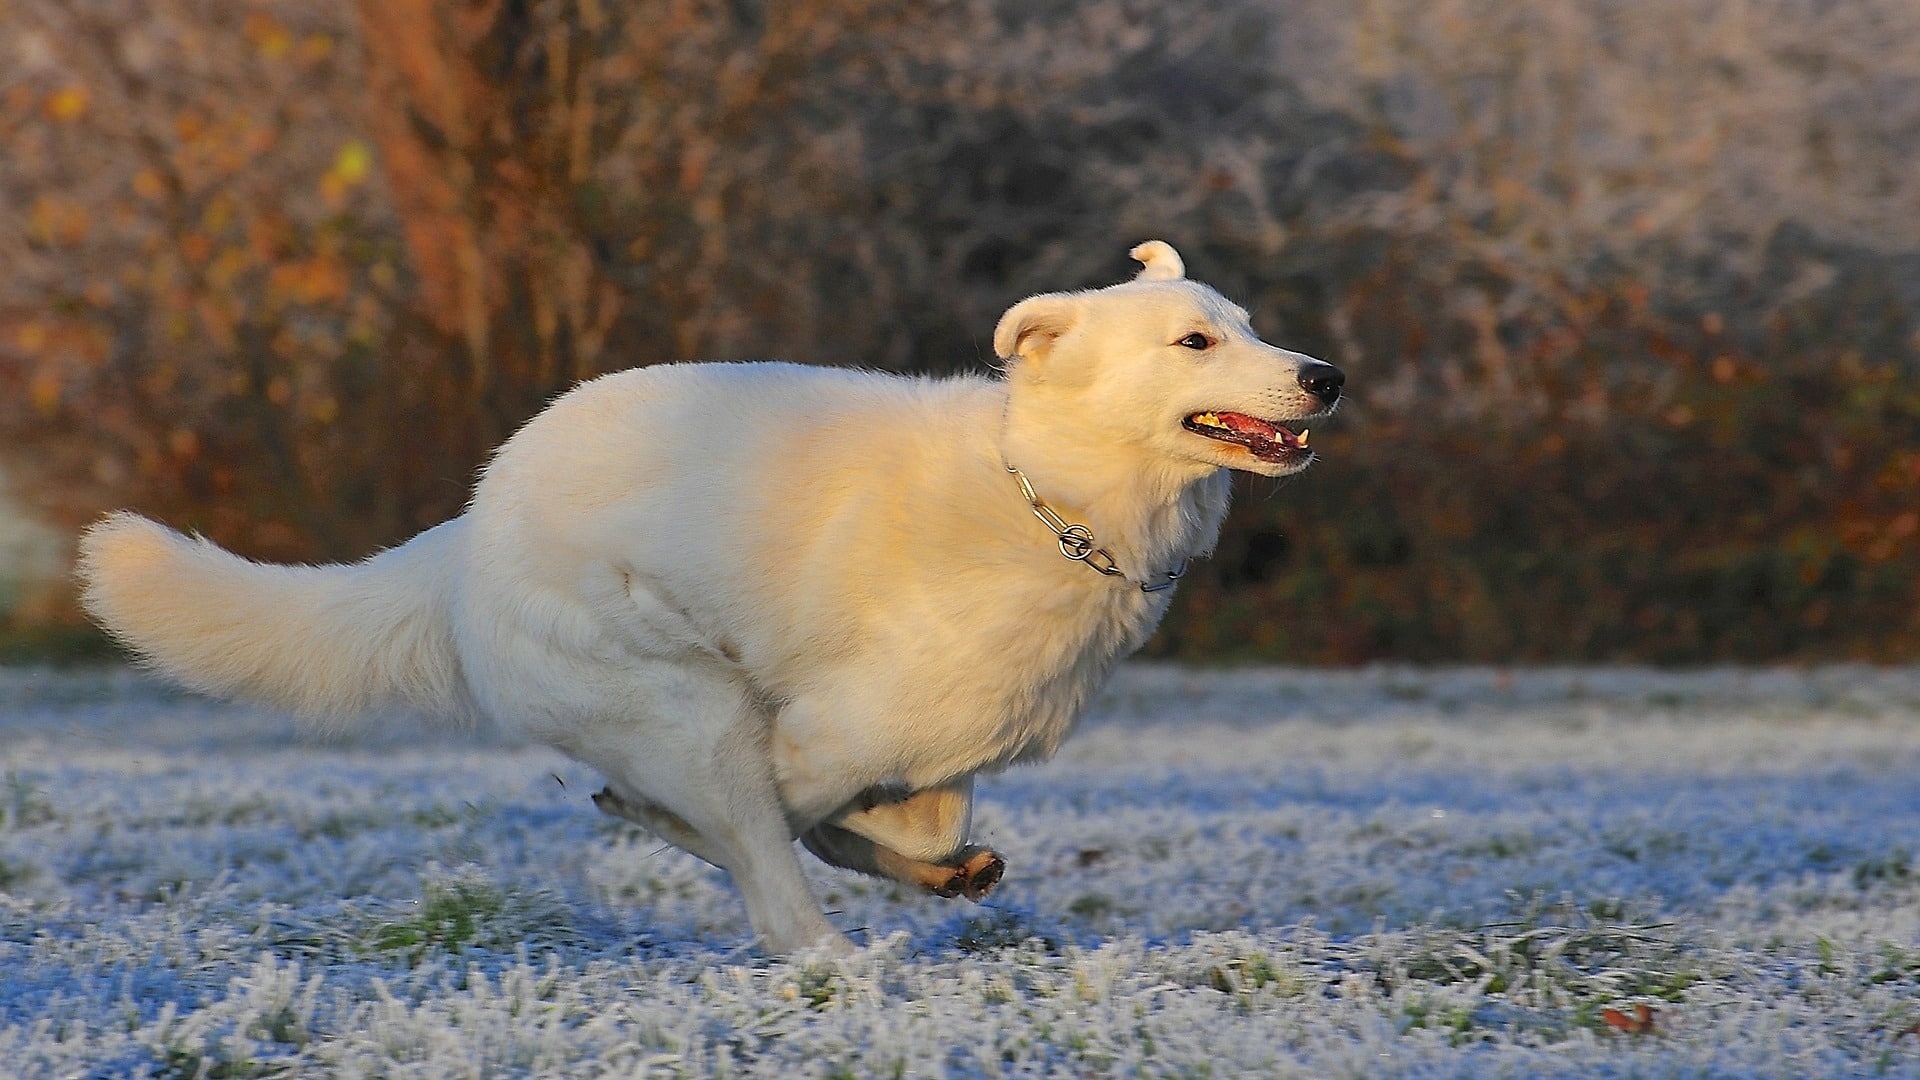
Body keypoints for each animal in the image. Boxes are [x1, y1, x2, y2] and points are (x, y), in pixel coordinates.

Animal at [78, 242, 1351, 949]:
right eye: (1195, 342)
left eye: (1249, 328)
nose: (1328, 376)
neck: (1049, 493)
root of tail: (469, 527)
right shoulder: (819, 733)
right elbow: (787, 823)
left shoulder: (935, 745)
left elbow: (905, 818)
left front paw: (935, 864)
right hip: (692, 707)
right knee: (771, 892)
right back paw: (832, 954)